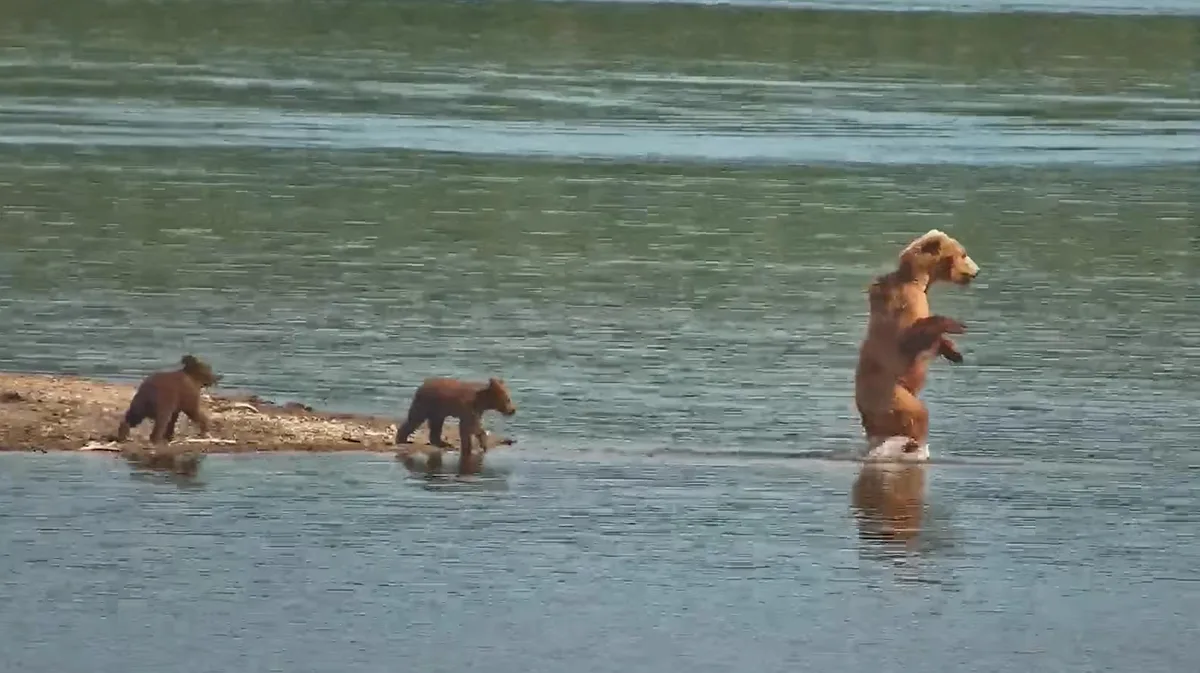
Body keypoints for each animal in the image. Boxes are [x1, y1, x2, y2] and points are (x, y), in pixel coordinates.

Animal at [854, 229, 979, 455]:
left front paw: (955, 353)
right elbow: (910, 336)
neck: (919, 280)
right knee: (918, 413)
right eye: (963, 254)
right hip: (890, 393)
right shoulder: (904, 303)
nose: (977, 271)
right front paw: (956, 324)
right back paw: (913, 443)